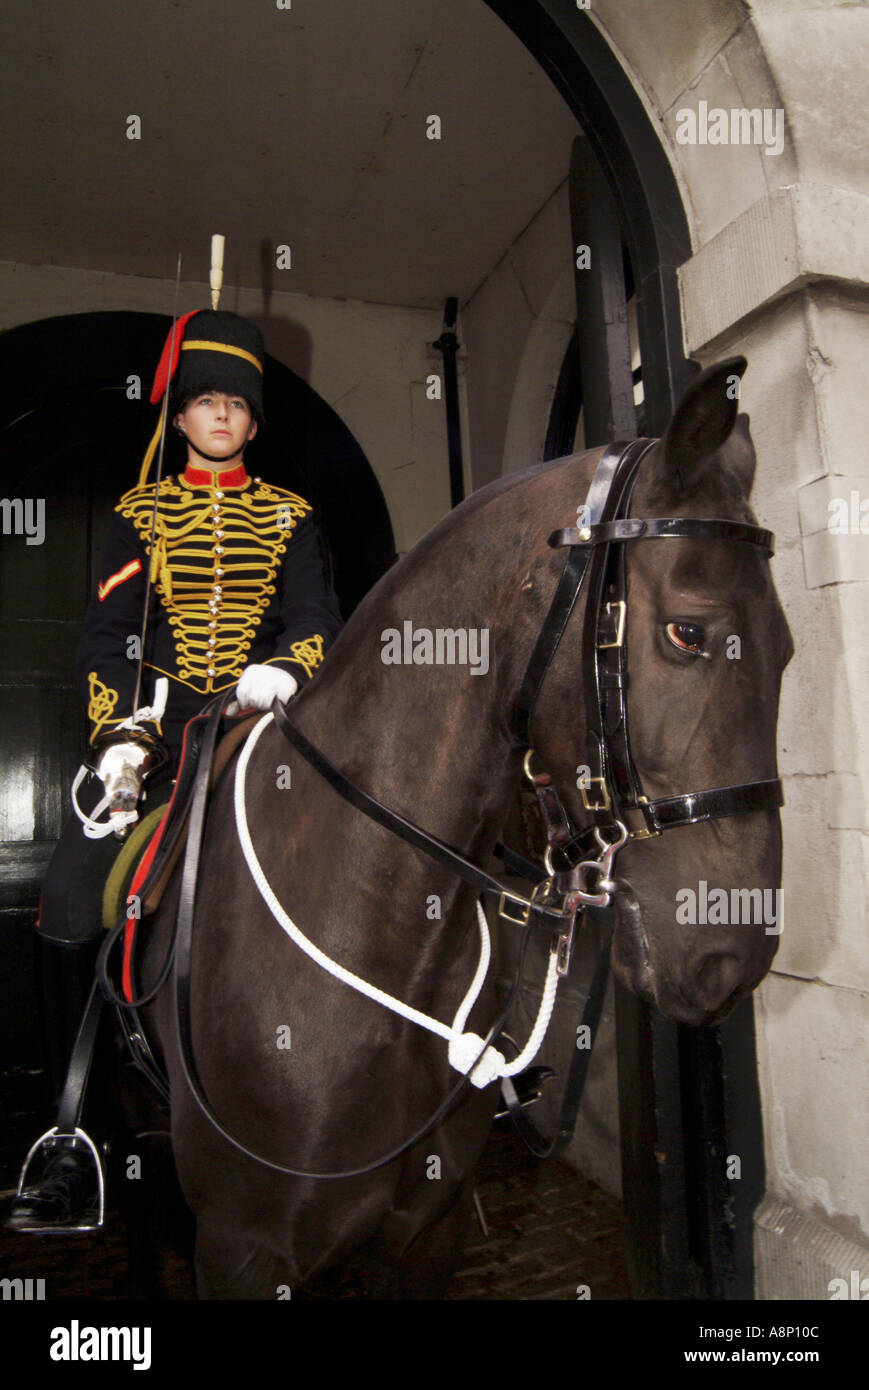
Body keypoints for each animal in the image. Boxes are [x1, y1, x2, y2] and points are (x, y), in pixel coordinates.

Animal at [132, 355, 789, 1289]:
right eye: (687, 633)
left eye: (788, 652)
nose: (732, 955)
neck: (381, 921)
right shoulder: (242, 1248)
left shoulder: (428, 1230)